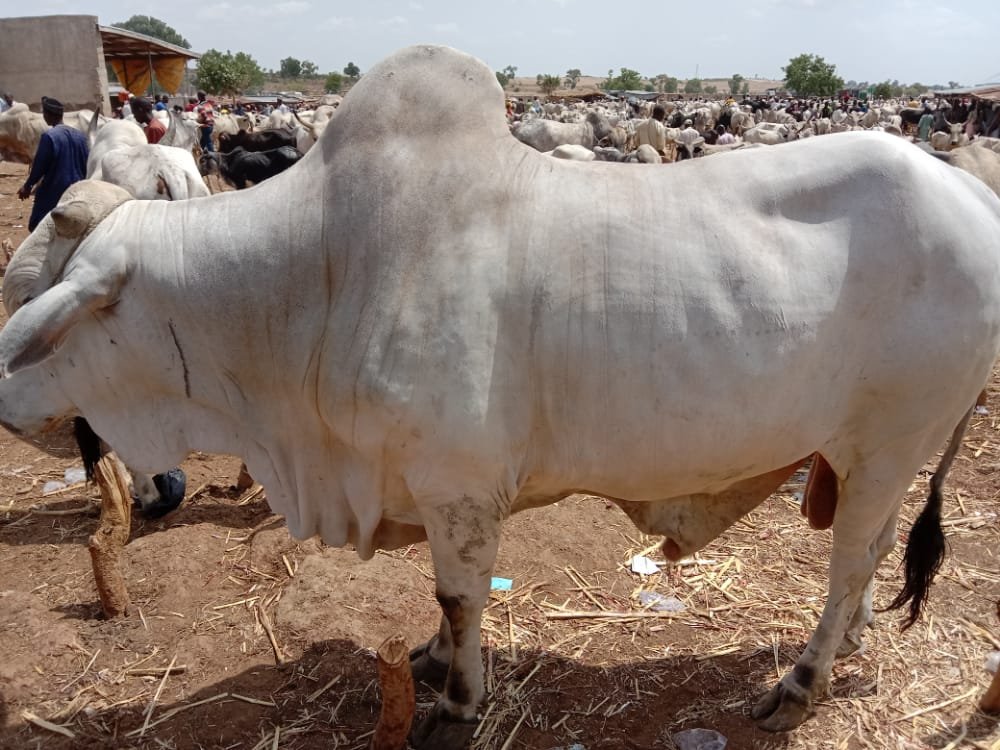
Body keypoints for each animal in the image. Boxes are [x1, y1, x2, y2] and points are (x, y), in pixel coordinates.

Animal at [1, 46, 1000, 750]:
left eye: (67, 298)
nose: (9, 391)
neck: (312, 277)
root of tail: (968, 192)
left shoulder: (459, 489)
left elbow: (458, 596)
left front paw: (455, 701)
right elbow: (442, 606)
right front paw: (432, 663)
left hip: (890, 439)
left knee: (848, 566)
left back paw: (801, 681)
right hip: (877, 454)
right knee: (874, 554)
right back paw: (853, 643)